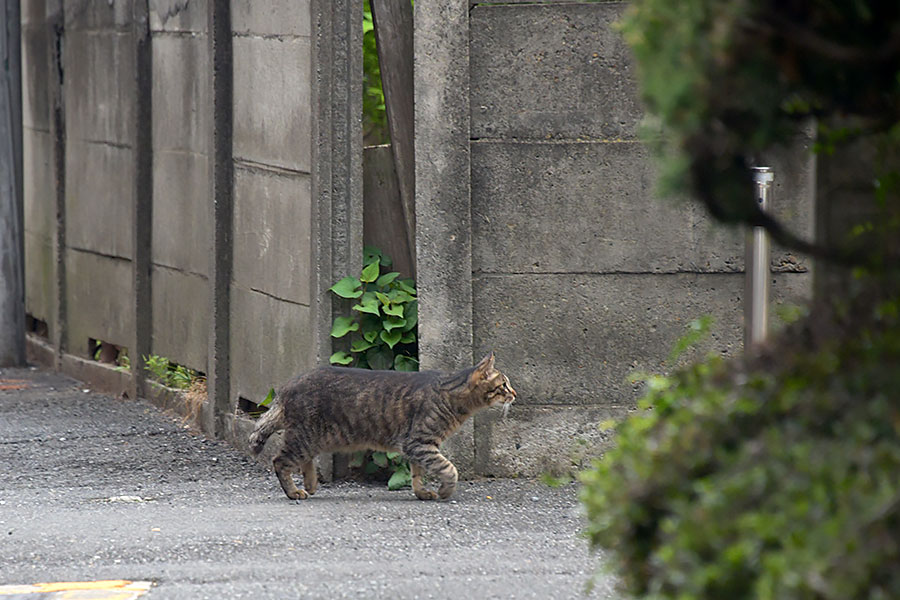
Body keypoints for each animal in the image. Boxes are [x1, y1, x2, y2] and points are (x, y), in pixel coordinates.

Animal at [246, 354, 516, 500]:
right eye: (504, 384)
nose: (514, 393)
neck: (452, 396)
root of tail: (286, 386)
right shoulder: (419, 443)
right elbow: (449, 469)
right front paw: (445, 490)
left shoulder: (418, 448)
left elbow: (417, 474)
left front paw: (422, 493)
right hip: (305, 437)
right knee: (281, 461)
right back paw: (294, 492)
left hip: (313, 438)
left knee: (305, 461)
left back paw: (310, 485)